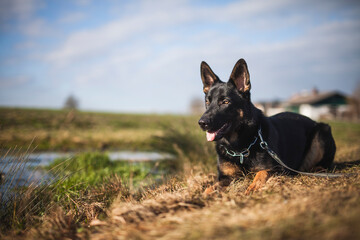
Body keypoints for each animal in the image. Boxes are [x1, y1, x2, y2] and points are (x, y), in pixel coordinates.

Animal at [198, 58, 336, 195]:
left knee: (324, 164)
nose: (202, 123)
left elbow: (262, 172)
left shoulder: (279, 168)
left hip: (321, 133)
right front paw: (202, 196)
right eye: (207, 102)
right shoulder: (225, 177)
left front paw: (254, 186)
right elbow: (210, 188)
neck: (240, 149)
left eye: (225, 102)